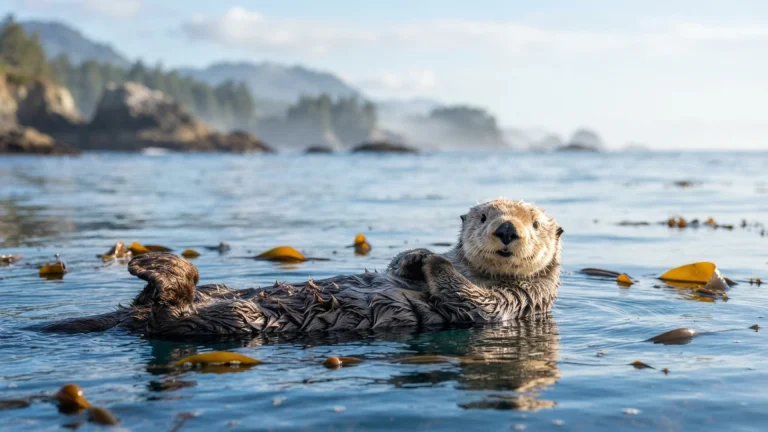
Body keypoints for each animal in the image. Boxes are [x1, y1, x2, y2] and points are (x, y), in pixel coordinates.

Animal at [40, 199, 563, 338]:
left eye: (535, 223)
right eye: (484, 216)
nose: (507, 230)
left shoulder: (514, 303)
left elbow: (471, 300)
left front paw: (431, 261)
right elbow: (400, 266)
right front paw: (416, 256)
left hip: (234, 321)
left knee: (172, 314)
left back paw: (159, 268)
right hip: (221, 292)